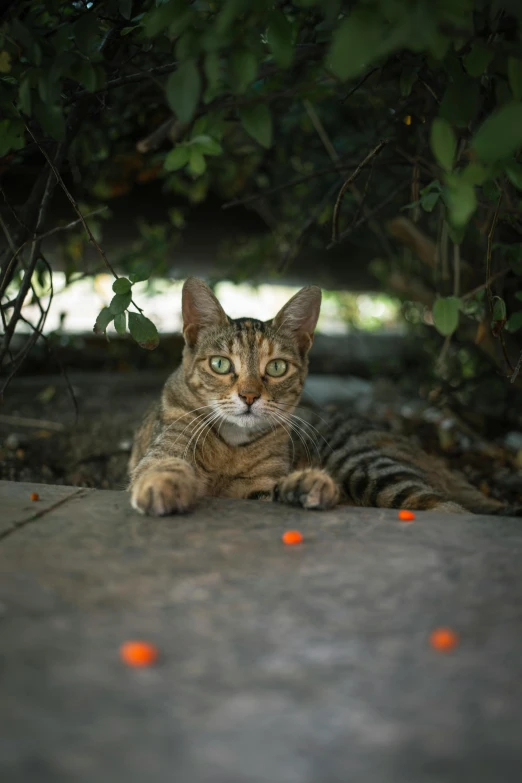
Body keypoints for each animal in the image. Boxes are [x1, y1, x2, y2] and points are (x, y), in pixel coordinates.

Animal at [128, 278, 516, 516]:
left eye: (277, 368)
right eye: (221, 364)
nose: (249, 396)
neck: (232, 447)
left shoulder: (259, 487)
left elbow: (268, 492)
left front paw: (302, 488)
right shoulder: (163, 450)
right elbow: (163, 465)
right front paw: (164, 483)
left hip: (364, 465)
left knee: (451, 508)